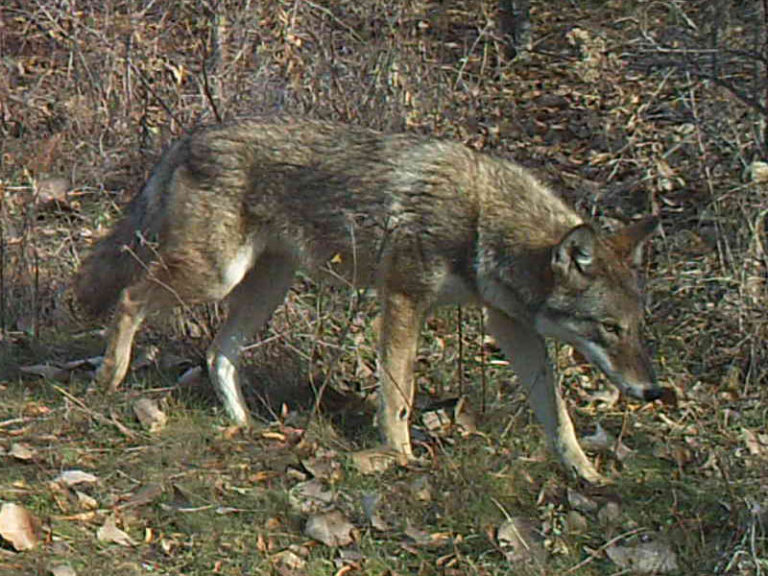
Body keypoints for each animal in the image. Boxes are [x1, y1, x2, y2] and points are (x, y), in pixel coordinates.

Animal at [75, 117, 663, 483]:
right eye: (609, 328)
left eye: (635, 327)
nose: (653, 391)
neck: (483, 220)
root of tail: (190, 136)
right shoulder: (403, 298)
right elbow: (399, 392)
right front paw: (398, 456)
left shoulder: (510, 326)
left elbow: (558, 413)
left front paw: (585, 473)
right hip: (215, 276)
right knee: (129, 298)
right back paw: (110, 378)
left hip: (265, 288)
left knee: (219, 352)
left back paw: (245, 425)